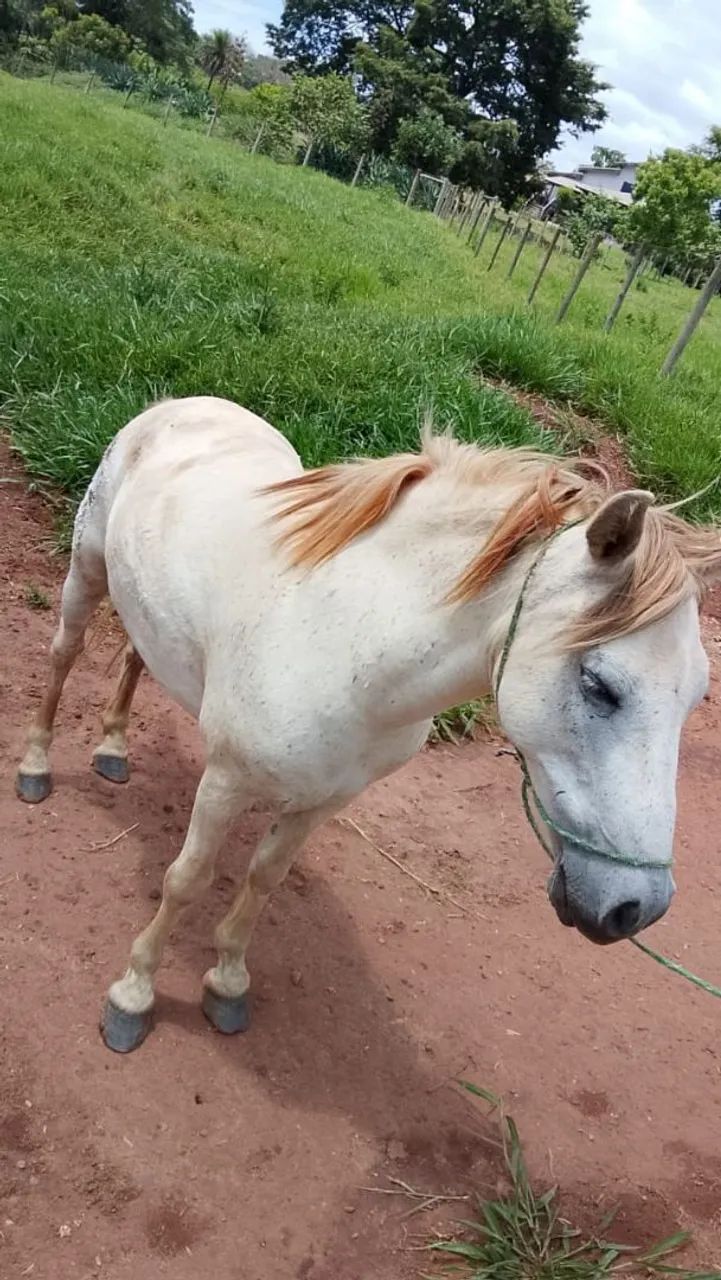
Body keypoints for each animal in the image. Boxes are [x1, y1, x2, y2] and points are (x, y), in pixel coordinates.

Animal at [15, 396, 721, 1054]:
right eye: (599, 684)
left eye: (695, 697)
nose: (636, 907)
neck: (348, 642)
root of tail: (181, 405)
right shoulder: (225, 782)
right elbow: (187, 881)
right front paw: (133, 995)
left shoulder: (324, 800)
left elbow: (264, 879)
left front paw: (228, 984)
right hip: (87, 568)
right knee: (64, 655)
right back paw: (37, 766)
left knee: (137, 654)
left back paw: (113, 747)